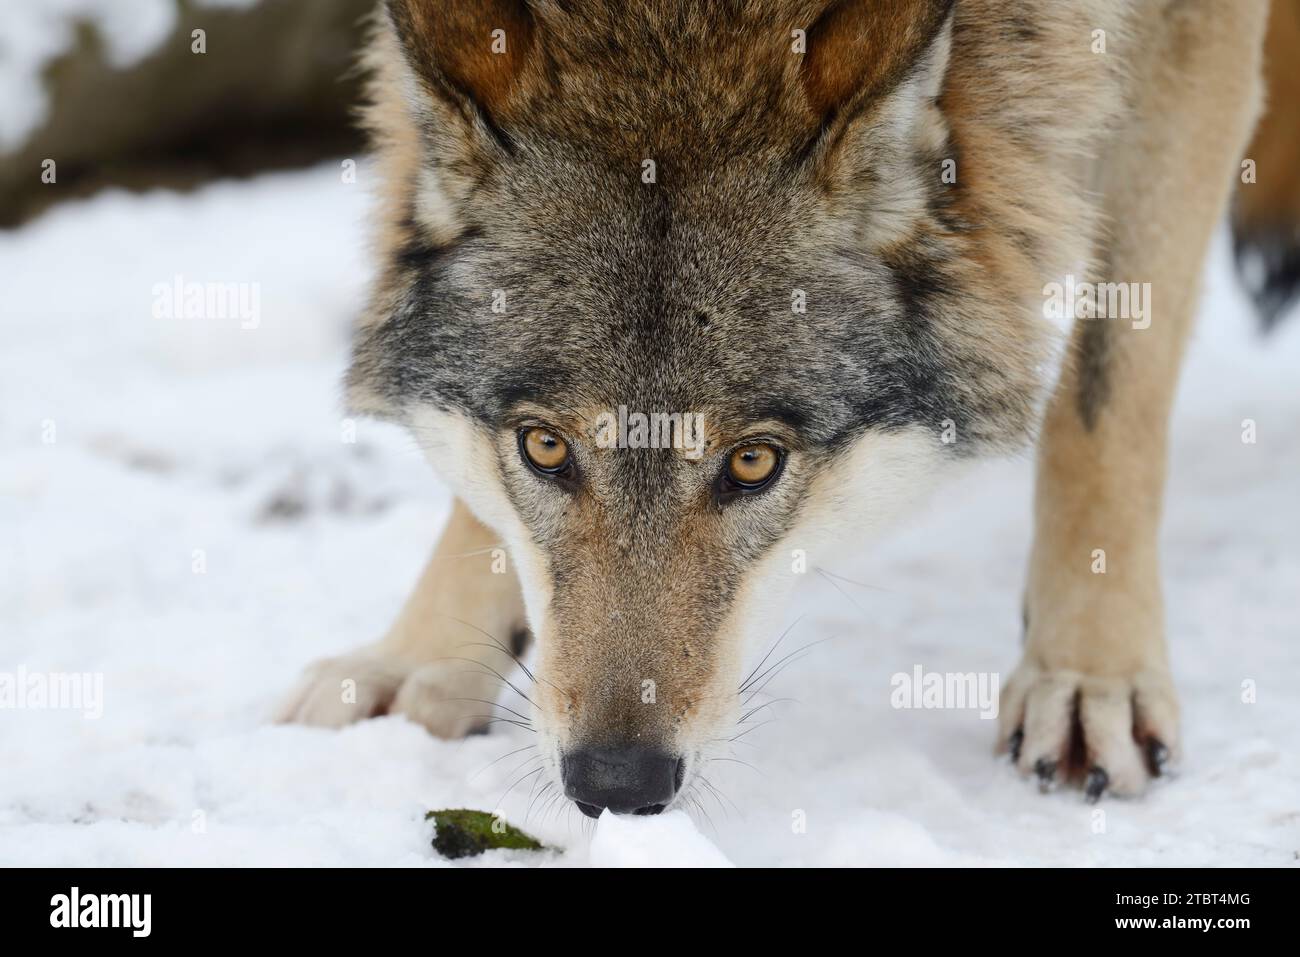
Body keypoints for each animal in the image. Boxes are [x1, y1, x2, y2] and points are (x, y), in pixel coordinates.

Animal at [280, 0, 1295, 815]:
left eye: (753, 461)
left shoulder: (1183, 36)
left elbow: (1107, 390)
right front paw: (417, 660)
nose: (616, 783)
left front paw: (1088, 676)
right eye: (543, 447)